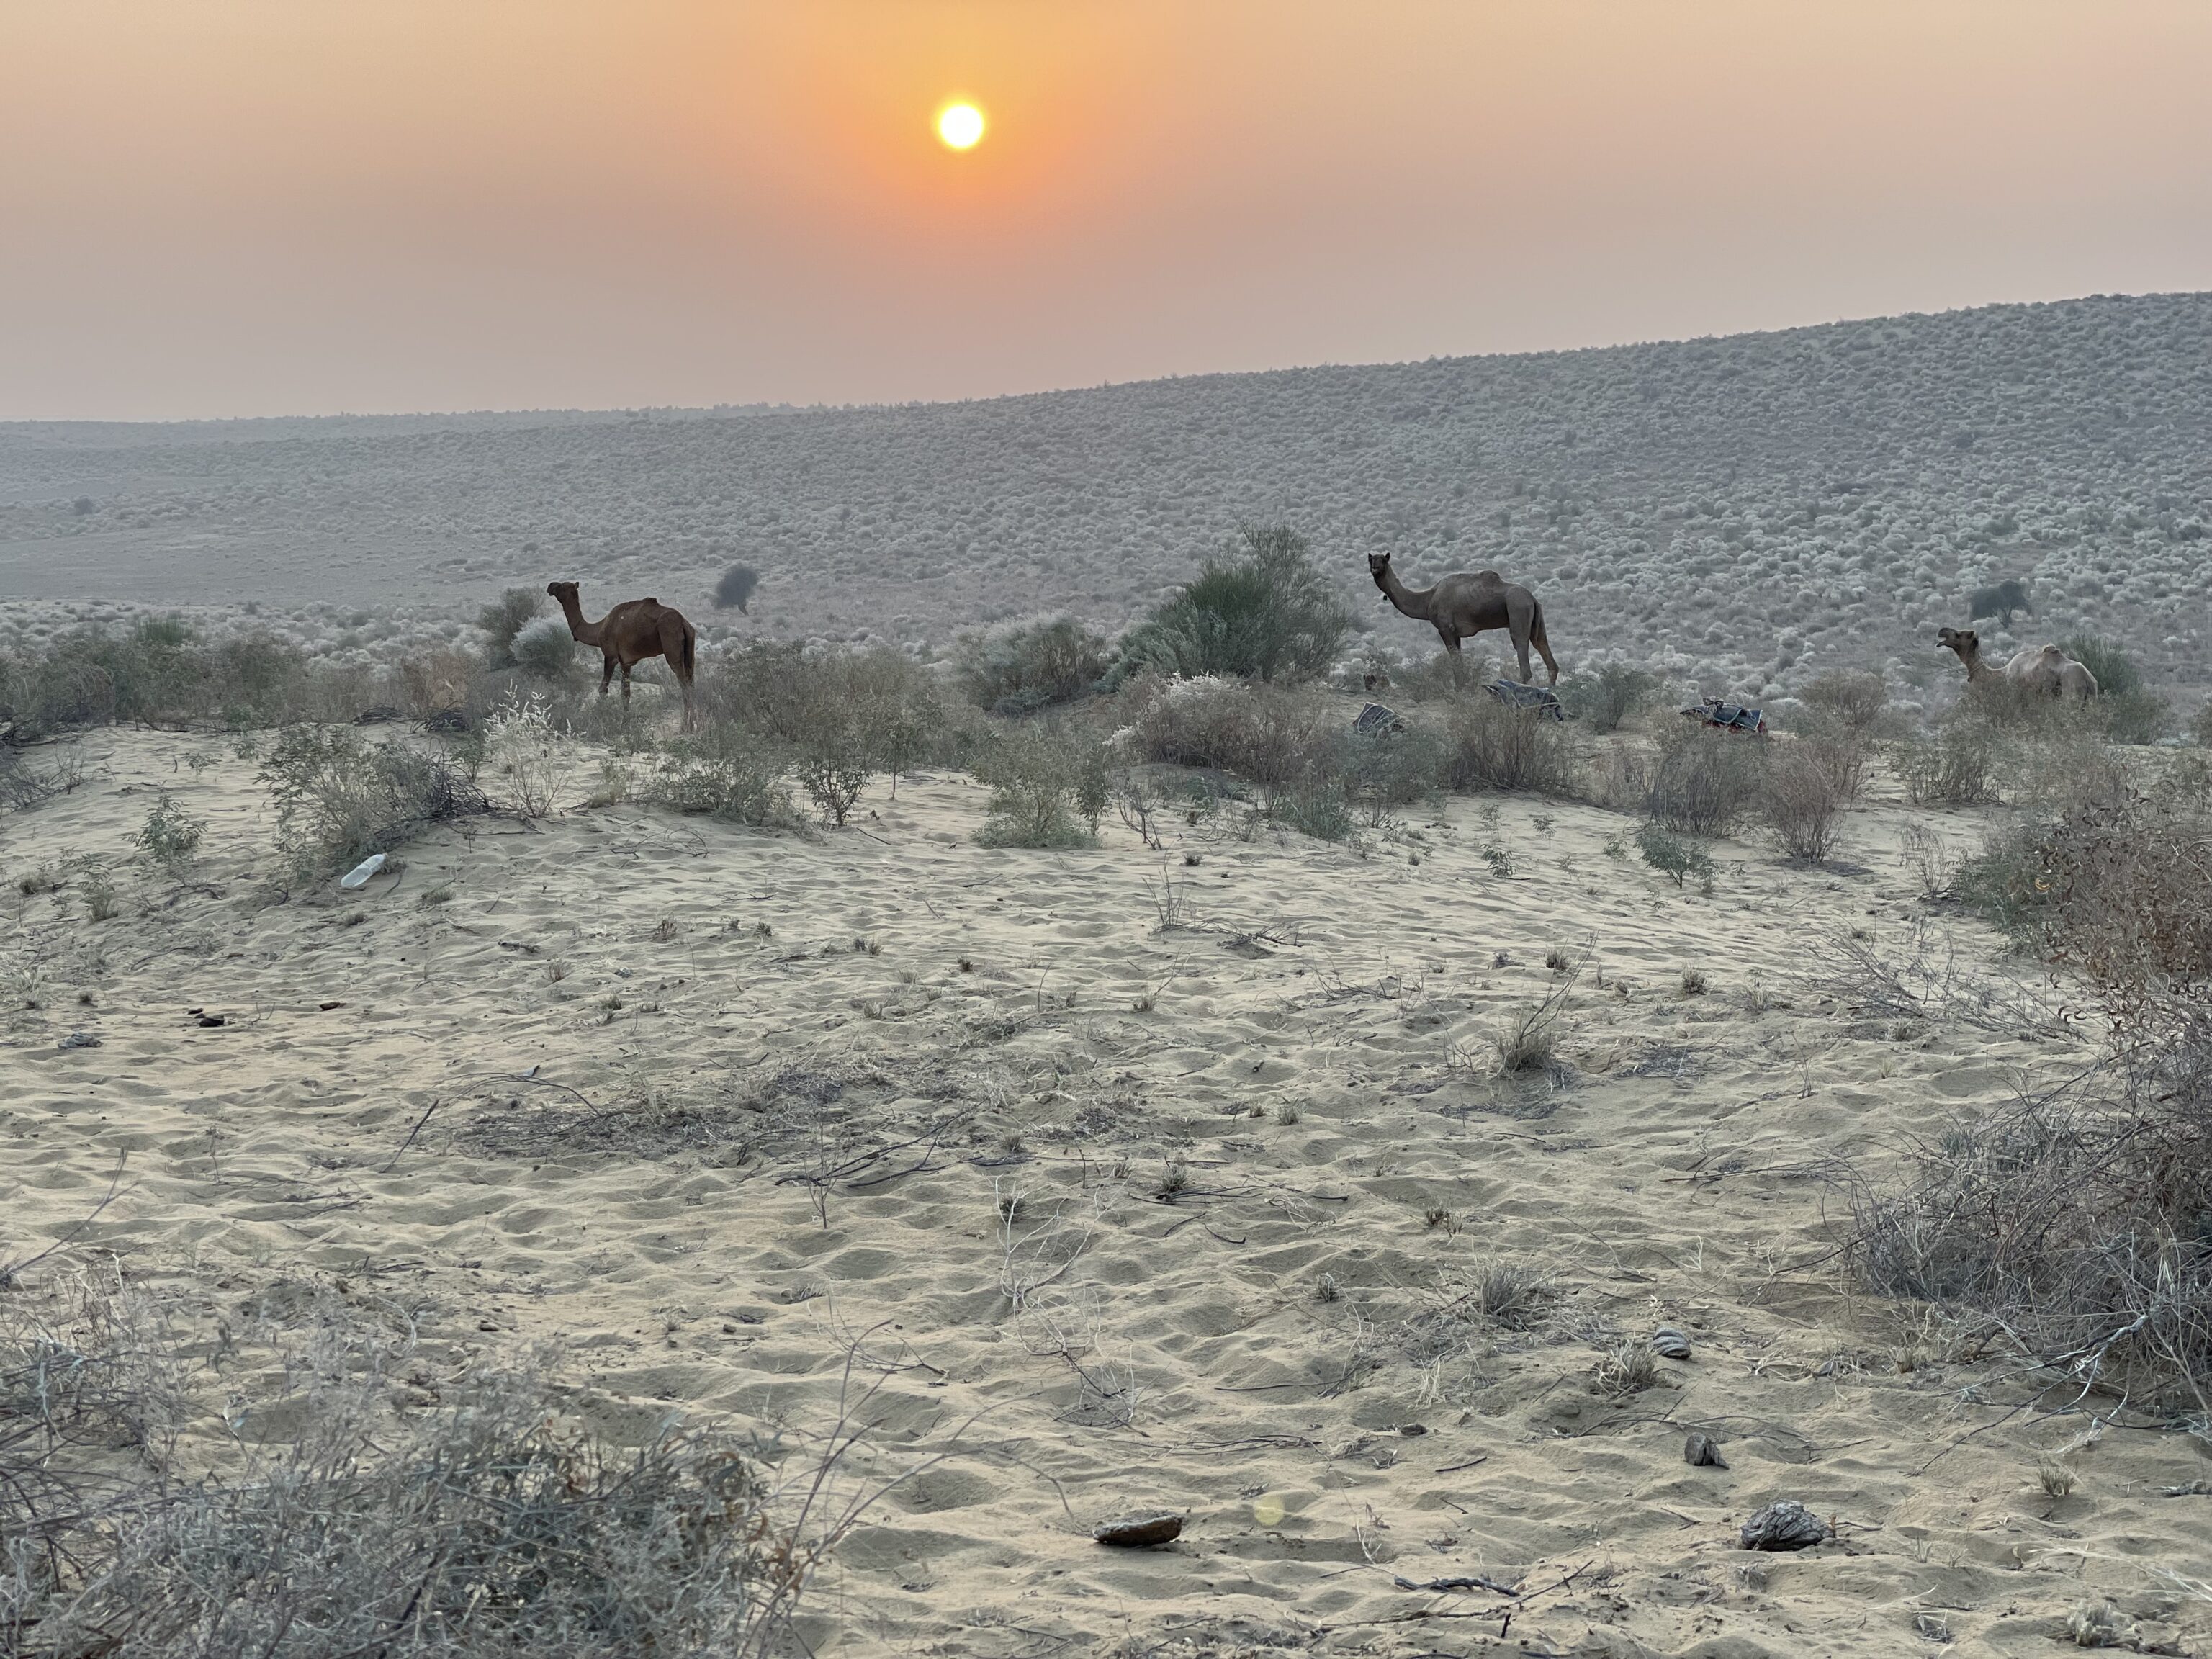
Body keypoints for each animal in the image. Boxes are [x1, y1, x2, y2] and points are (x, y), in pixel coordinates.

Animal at [548, 579, 694, 729]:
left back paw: (685, 726)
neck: (598, 630)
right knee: (691, 681)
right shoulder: (627, 661)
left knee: (684, 684)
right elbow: (626, 692)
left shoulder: (611, 656)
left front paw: (606, 720)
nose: (550, 586)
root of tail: (683, 623)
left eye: (561, 586)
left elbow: (605, 689)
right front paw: (625, 723)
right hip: (690, 649)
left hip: (671, 643)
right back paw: (693, 724)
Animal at [1362, 555, 1557, 685]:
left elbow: (1455, 660)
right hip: (1536, 619)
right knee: (1543, 646)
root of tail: (1532, 598)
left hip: (1517, 609)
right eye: (1371, 560)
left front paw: (1459, 690)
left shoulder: (1444, 628)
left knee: (1520, 645)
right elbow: (1459, 660)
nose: (1375, 569)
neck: (1428, 599)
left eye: (1383, 560)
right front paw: (1462, 687)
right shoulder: (1456, 633)